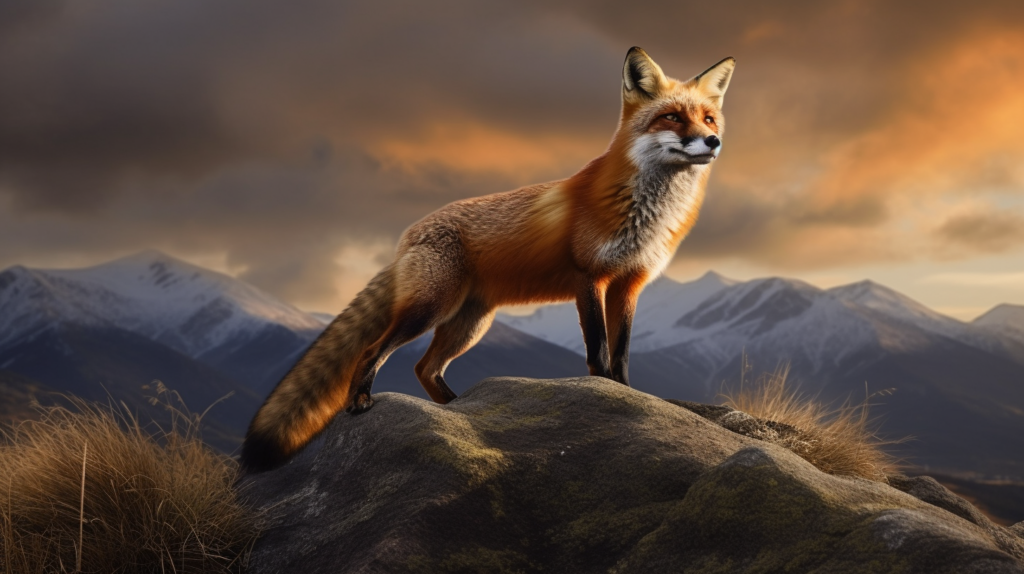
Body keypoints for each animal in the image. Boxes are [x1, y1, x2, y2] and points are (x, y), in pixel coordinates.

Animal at [239, 47, 735, 472]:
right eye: (672, 117)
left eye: (709, 118)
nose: (712, 141)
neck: (644, 212)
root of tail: (408, 235)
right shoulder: (589, 278)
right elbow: (598, 350)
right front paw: (607, 394)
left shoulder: (629, 283)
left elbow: (624, 353)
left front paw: (629, 394)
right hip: (429, 310)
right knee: (372, 350)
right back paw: (362, 401)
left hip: (469, 325)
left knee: (424, 368)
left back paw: (458, 409)